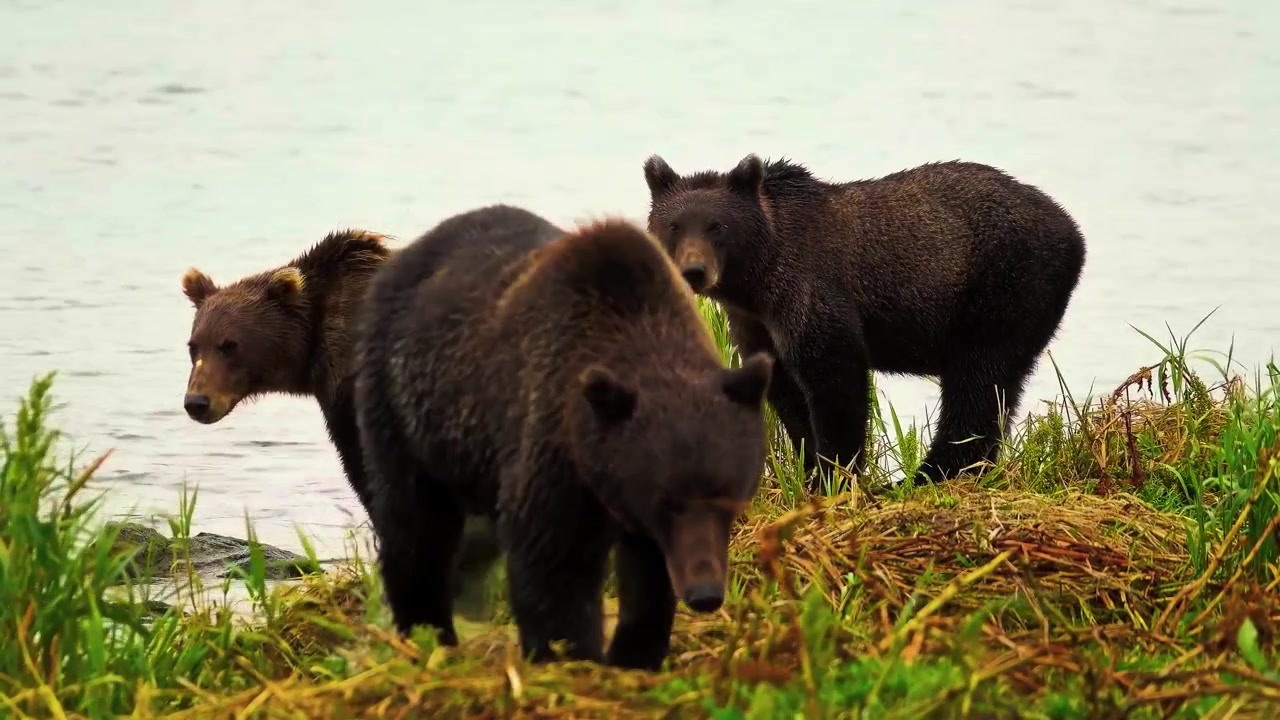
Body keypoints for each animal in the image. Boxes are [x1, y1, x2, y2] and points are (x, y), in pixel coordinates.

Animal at [352, 203, 774, 671]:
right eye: (667, 501)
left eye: (730, 498)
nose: (705, 594)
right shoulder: (553, 440)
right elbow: (553, 562)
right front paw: (570, 653)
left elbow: (647, 577)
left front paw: (636, 653)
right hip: (404, 401)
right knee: (414, 523)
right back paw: (426, 632)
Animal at [641, 154, 1087, 490]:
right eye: (674, 225)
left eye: (717, 226)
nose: (694, 271)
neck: (759, 280)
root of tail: (1072, 228)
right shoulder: (756, 324)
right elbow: (785, 393)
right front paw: (809, 469)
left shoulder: (811, 292)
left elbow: (836, 382)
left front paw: (836, 475)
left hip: (1002, 287)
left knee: (977, 379)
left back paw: (926, 475)